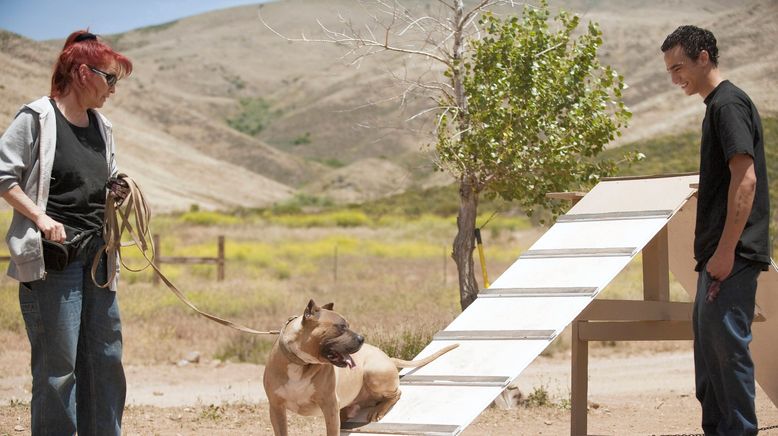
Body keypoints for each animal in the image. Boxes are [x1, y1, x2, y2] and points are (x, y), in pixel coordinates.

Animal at [262, 300, 454, 436]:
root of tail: (387, 357)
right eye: (341, 327)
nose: (362, 338)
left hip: (373, 373)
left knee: (397, 393)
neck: (300, 364)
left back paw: (378, 411)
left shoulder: (330, 407)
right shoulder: (276, 408)